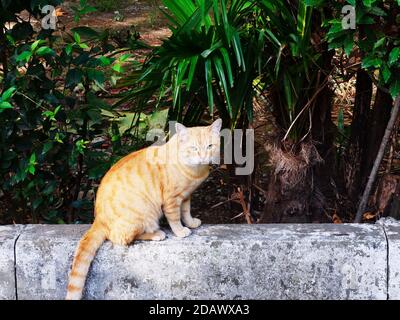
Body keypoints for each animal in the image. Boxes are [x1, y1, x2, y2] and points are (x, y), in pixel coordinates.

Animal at [65, 119, 222, 298]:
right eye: (194, 148)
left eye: (210, 146)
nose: (203, 157)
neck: (193, 171)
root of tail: (98, 219)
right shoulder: (171, 200)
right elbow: (175, 218)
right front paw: (180, 231)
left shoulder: (186, 196)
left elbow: (186, 212)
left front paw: (190, 223)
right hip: (144, 215)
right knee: (121, 238)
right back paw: (156, 234)